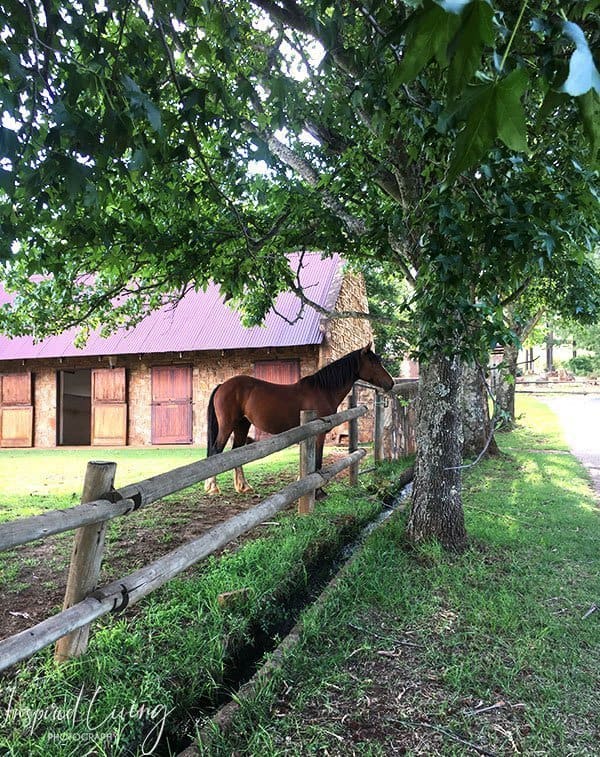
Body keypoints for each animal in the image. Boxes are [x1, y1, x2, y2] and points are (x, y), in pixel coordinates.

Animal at [204, 344, 396, 496]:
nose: (391, 383)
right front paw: (318, 491)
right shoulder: (318, 432)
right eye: (374, 362)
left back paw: (243, 487)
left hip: (242, 425)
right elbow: (317, 460)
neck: (323, 389)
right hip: (227, 425)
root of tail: (222, 385)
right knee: (216, 451)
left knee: (235, 452)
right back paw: (213, 488)